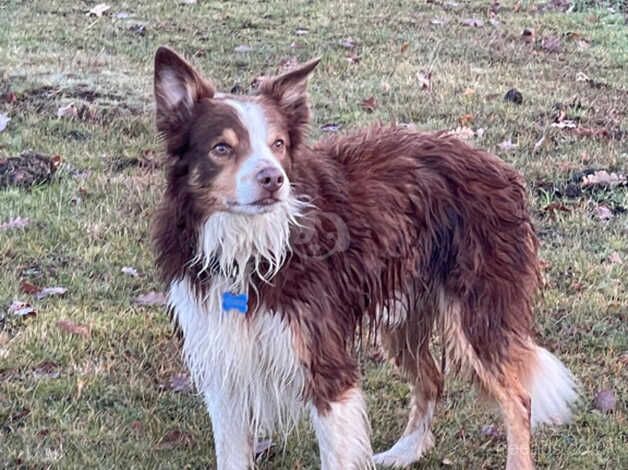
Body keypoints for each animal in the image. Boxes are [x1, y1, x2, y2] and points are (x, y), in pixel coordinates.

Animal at [152, 45, 580, 470]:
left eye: (278, 144)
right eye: (222, 148)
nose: (274, 180)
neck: (251, 248)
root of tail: (495, 163)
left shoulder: (325, 365)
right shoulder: (224, 365)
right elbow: (231, 453)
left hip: (477, 314)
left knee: (517, 399)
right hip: (405, 314)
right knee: (431, 378)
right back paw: (405, 451)